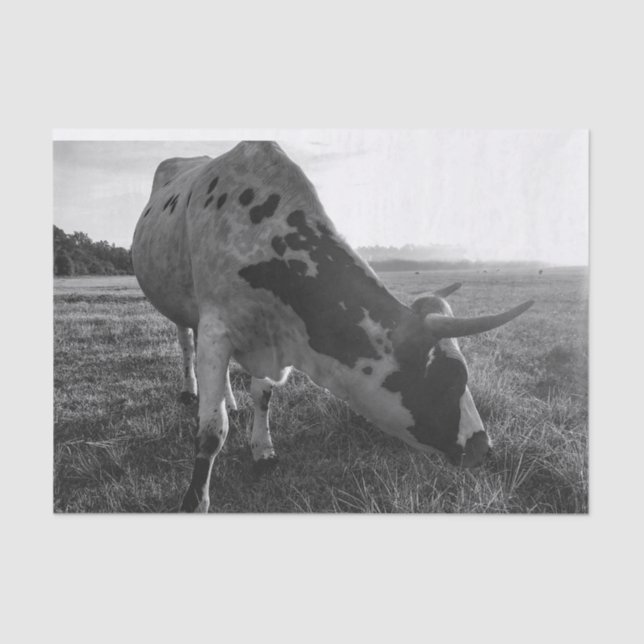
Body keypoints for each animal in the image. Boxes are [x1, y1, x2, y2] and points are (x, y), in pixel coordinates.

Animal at [132, 141, 533, 512]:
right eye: (451, 379)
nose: (483, 447)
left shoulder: (267, 333)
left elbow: (262, 397)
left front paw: (262, 449)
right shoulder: (218, 327)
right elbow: (212, 430)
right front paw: (195, 500)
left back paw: (230, 398)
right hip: (180, 306)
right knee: (188, 344)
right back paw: (191, 390)